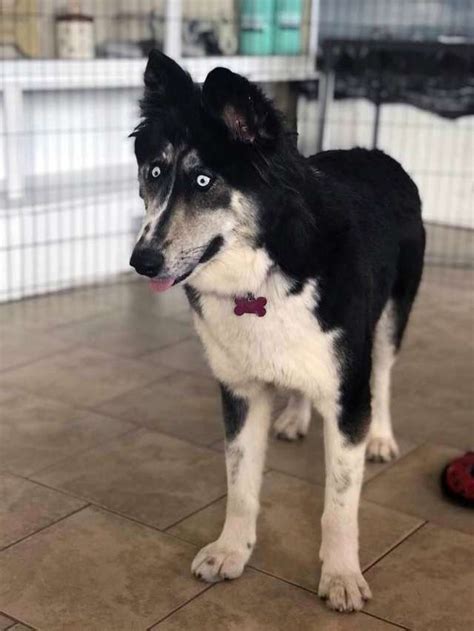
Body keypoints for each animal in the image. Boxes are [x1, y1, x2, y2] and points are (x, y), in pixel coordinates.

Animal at [128, 51, 424, 616]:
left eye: (204, 181)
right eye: (154, 172)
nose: (141, 261)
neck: (264, 271)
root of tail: (377, 154)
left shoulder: (347, 393)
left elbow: (339, 503)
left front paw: (341, 575)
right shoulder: (240, 391)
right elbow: (241, 483)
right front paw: (231, 552)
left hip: (391, 317)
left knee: (385, 373)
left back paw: (381, 437)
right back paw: (295, 417)